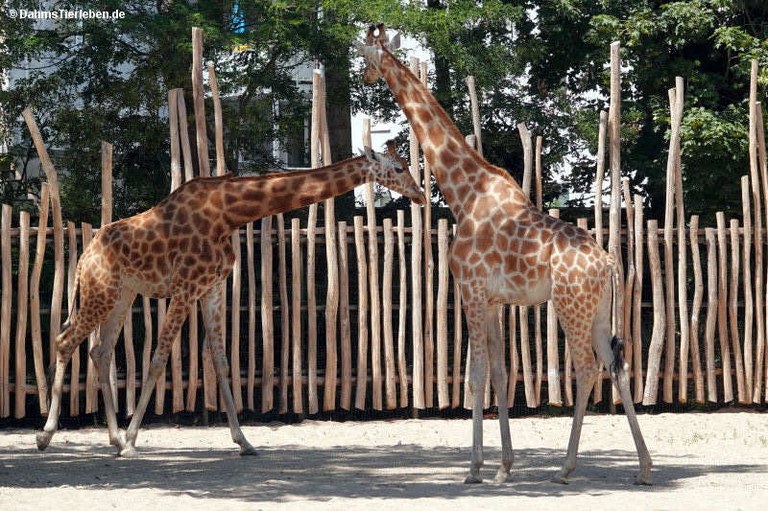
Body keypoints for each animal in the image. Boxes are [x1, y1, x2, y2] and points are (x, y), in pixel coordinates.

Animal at [37, 145, 424, 457]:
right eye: (398, 168)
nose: (421, 196)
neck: (231, 213)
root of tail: (84, 256)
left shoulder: (212, 288)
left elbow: (222, 362)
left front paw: (245, 442)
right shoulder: (186, 287)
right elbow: (159, 359)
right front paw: (133, 442)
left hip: (122, 293)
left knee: (98, 352)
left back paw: (112, 440)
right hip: (100, 291)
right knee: (65, 341)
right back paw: (48, 436)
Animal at [357, 25, 651, 485]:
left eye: (365, 57)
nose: (365, 78)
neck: (464, 193)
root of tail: (607, 265)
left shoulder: (471, 291)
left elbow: (475, 375)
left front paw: (474, 469)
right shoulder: (494, 300)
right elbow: (499, 373)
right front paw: (503, 467)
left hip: (570, 306)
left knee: (587, 367)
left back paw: (565, 468)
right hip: (600, 310)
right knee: (616, 363)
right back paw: (643, 468)